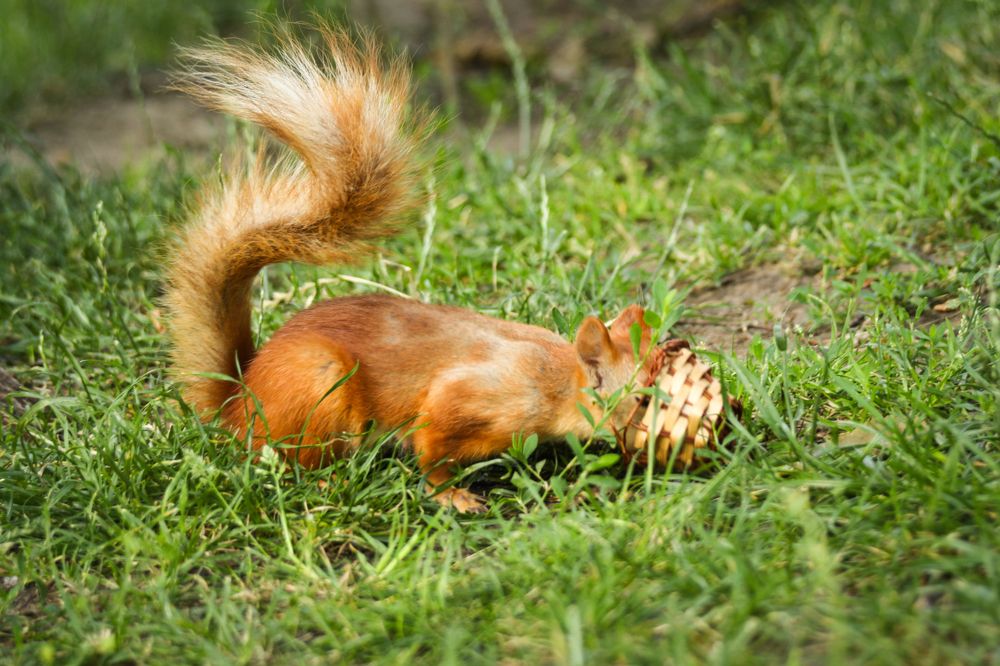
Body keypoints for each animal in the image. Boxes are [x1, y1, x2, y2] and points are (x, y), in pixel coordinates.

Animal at [165, 25, 658, 513]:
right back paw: (325, 482)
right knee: (282, 459)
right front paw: (453, 496)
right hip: (321, 386)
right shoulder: (467, 399)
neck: (555, 379)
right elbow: (432, 448)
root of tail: (239, 399)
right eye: (640, 400)